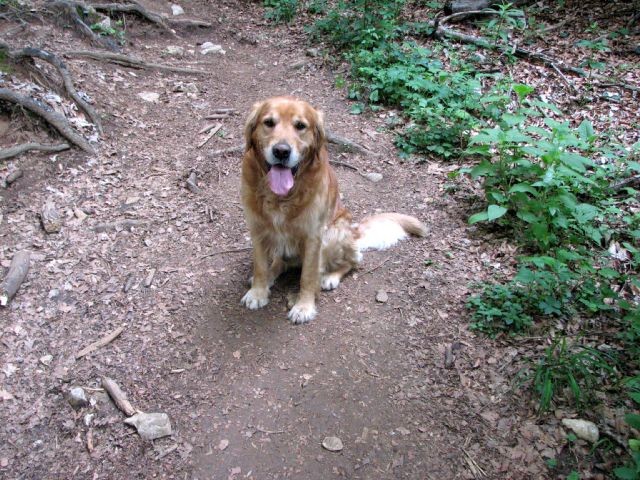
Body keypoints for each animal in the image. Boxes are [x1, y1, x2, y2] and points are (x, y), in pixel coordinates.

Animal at [240, 96, 424, 324]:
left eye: (300, 126)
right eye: (269, 122)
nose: (281, 151)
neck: (281, 197)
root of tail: (354, 230)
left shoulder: (313, 237)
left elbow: (308, 276)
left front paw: (304, 306)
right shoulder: (257, 229)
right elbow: (259, 265)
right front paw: (258, 291)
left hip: (334, 232)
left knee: (353, 261)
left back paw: (328, 278)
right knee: (281, 263)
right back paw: (271, 274)